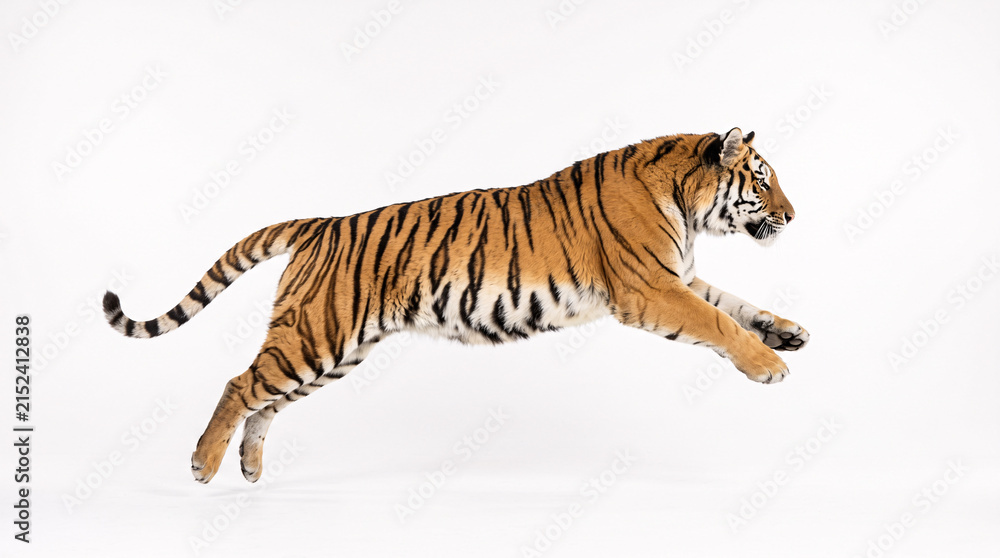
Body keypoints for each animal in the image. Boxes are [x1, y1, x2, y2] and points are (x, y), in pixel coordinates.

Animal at [103, 127, 809, 483]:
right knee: (239, 384)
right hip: (315, 338)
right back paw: (203, 464)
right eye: (763, 179)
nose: (795, 215)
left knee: (266, 400)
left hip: (333, 353)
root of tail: (323, 223)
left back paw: (249, 468)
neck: (689, 206)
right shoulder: (652, 289)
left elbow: (735, 304)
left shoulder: (677, 279)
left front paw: (786, 332)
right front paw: (771, 367)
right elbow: (717, 320)